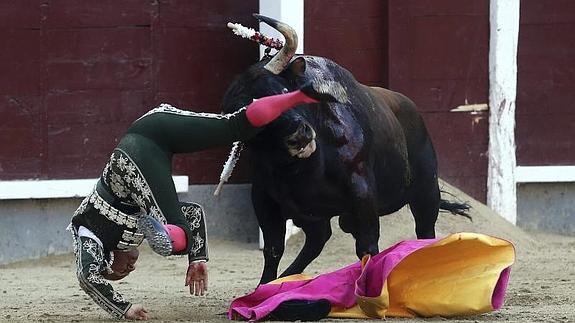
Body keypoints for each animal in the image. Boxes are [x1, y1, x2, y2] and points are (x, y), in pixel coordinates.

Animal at [220, 13, 468, 284]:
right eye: (254, 118)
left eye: (284, 91)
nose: (300, 134)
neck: (303, 168)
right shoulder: (264, 199)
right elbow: (273, 249)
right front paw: (265, 287)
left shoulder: (362, 193)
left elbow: (367, 248)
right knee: (318, 239)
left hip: (426, 192)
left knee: (424, 231)